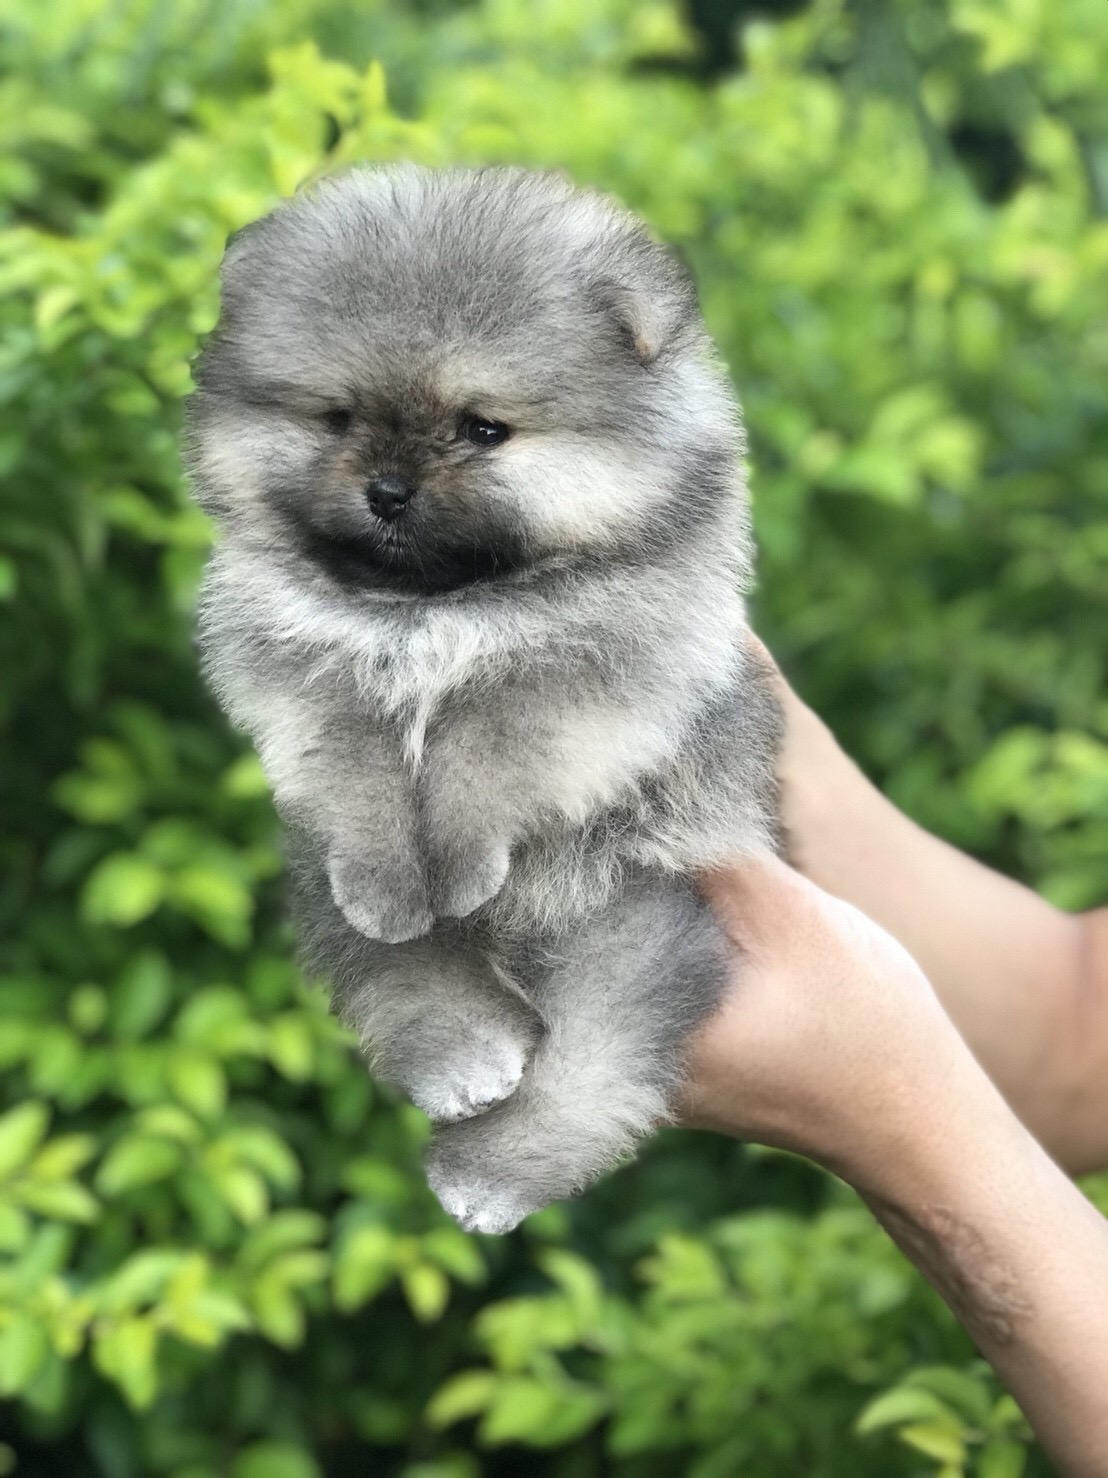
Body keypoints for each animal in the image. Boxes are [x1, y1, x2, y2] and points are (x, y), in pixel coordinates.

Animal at [185, 164, 781, 1233]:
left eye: (483, 430)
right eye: (337, 419)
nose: (387, 489)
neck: (434, 609)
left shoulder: (580, 672)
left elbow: (483, 759)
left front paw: (459, 859)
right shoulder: (313, 680)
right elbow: (365, 789)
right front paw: (397, 882)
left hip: (622, 919)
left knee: (597, 1063)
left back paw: (486, 1174)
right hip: (332, 896)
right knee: (401, 969)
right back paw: (459, 1055)